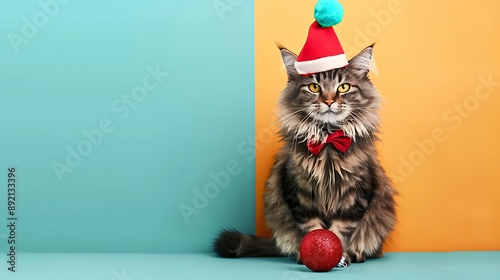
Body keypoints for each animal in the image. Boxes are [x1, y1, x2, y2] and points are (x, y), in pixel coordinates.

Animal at [213, 43, 396, 264]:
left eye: (343, 87)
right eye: (314, 87)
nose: (328, 101)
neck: (327, 141)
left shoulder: (356, 195)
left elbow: (340, 231)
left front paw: (338, 255)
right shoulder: (299, 192)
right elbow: (312, 228)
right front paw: (314, 253)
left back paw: (358, 254)